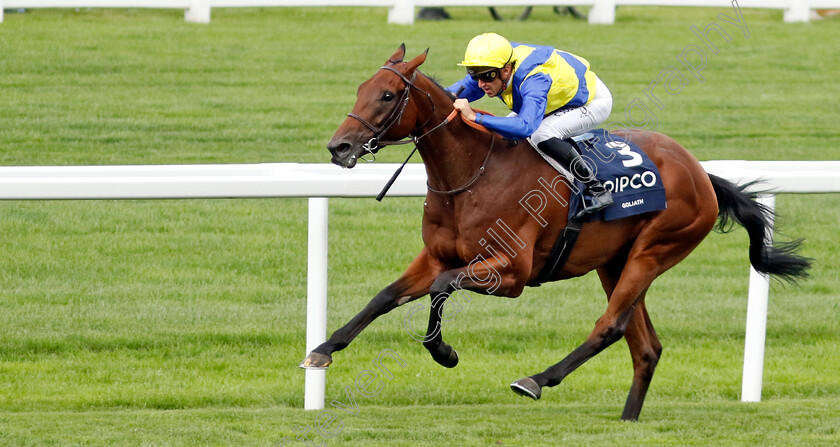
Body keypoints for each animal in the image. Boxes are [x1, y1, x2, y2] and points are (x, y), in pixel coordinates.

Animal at [302, 44, 808, 420]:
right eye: (362, 88)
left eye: (388, 95)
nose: (338, 147)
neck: (473, 175)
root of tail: (701, 173)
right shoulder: (435, 256)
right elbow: (386, 296)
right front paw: (322, 350)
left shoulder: (511, 274)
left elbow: (443, 287)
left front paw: (444, 352)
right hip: (615, 262)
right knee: (645, 345)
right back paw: (627, 419)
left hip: (655, 250)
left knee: (610, 326)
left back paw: (536, 380)